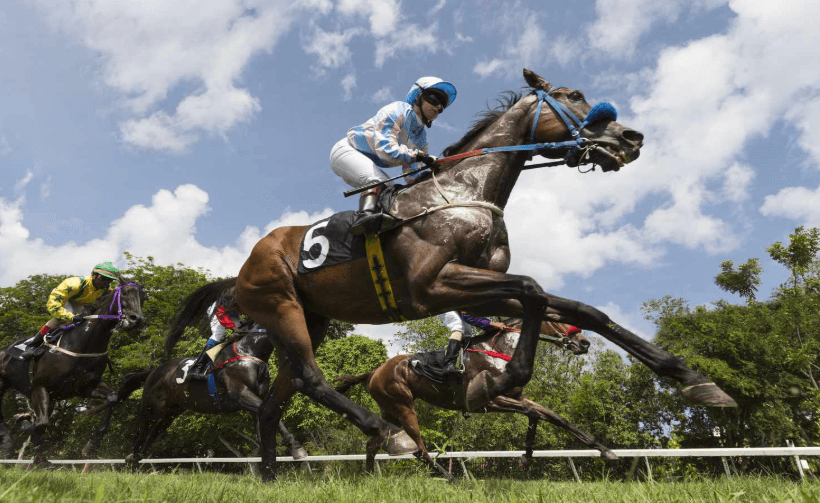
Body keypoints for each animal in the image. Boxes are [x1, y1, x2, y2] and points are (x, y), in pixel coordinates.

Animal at [0, 281, 145, 460]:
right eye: (125, 293)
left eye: (143, 297)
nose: (136, 319)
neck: (83, 344)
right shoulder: (40, 386)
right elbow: (41, 424)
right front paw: (23, 422)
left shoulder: (83, 388)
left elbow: (112, 398)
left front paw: (91, 444)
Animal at [120, 279, 306, 466]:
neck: (249, 350)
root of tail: (155, 370)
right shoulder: (240, 393)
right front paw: (297, 448)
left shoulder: (256, 397)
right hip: (152, 406)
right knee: (140, 432)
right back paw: (132, 460)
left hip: (171, 411)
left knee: (152, 434)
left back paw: (136, 458)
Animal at [335, 319, 615, 481]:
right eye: (555, 319)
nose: (584, 343)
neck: (501, 351)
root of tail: (374, 371)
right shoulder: (489, 402)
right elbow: (534, 413)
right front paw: (526, 457)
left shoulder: (516, 397)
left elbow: (553, 417)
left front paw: (604, 449)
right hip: (404, 407)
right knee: (419, 447)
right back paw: (448, 477)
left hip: (389, 410)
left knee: (373, 444)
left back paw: (371, 478)